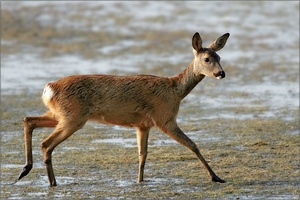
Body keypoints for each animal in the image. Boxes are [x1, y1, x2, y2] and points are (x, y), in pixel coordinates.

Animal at [18, 31, 230, 186]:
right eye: (207, 59)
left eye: (219, 56)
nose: (221, 73)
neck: (175, 90)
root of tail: (49, 88)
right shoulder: (165, 118)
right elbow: (193, 145)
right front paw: (216, 177)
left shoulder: (143, 124)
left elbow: (142, 155)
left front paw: (140, 181)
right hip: (73, 117)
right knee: (46, 143)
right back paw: (51, 181)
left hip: (61, 114)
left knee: (29, 120)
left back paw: (26, 170)